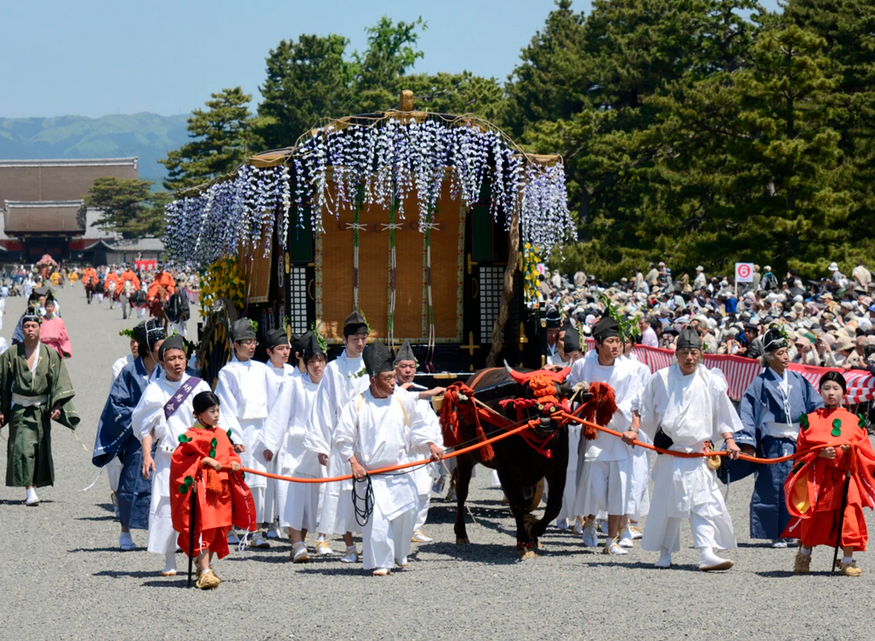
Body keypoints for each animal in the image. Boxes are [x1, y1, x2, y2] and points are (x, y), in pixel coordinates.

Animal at [442, 364, 612, 556]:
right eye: (529, 394)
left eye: (558, 393)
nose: (546, 419)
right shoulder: (505, 470)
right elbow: (517, 503)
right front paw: (523, 540)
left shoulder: (558, 469)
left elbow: (553, 506)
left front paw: (533, 531)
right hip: (464, 455)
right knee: (462, 492)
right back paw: (461, 534)